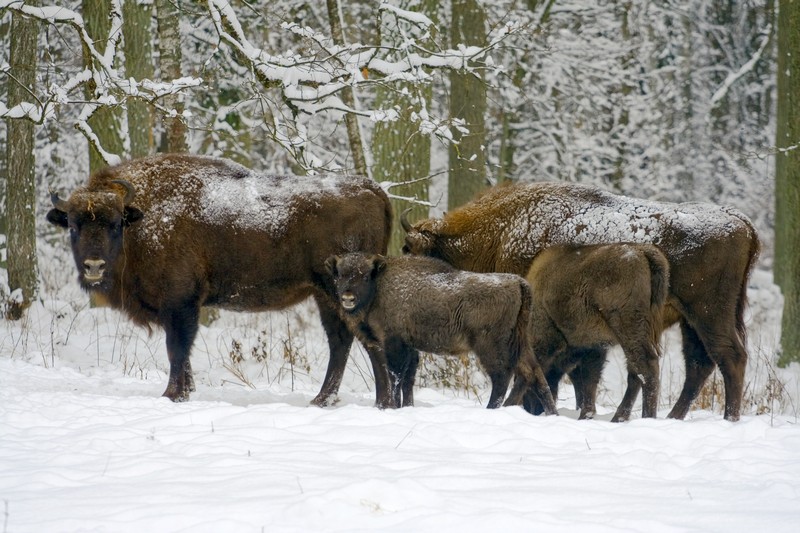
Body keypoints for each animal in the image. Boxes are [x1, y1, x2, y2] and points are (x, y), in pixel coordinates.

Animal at [45, 154, 396, 408]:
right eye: (73, 225)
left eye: (116, 224)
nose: (94, 266)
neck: (143, 216)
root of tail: (372, 189)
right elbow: (181, 352)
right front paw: (186, 390)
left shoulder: (181, 303)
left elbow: (177, 348)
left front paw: (172, 395)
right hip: (325, 296)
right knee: (341, 341)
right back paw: (324, 399)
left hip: (342, 295)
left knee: (366, 340)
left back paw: (382, 402)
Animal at [324, 251, 556, 414]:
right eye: (340, 275)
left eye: (364, 276)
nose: (347, 298)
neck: (380, 285)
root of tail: (518, 282)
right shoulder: (410, 347)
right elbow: (408, 379)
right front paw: (407, 406)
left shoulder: (394, 343)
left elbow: (396, 377)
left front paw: (394, 407)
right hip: (521, 343)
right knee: (534, 374)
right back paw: (551, 413)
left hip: (489, 347)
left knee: (502, 376)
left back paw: (491, 409)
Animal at [512, 243, 668, 422]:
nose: (532, 409)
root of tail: (642, 252)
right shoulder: (593, 347)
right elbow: (589, 380)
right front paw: (586, 415)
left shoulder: (546, 338)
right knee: (635, 372)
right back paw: (619, 418)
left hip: (628, 328)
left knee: (646, 368)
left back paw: (646, 417)